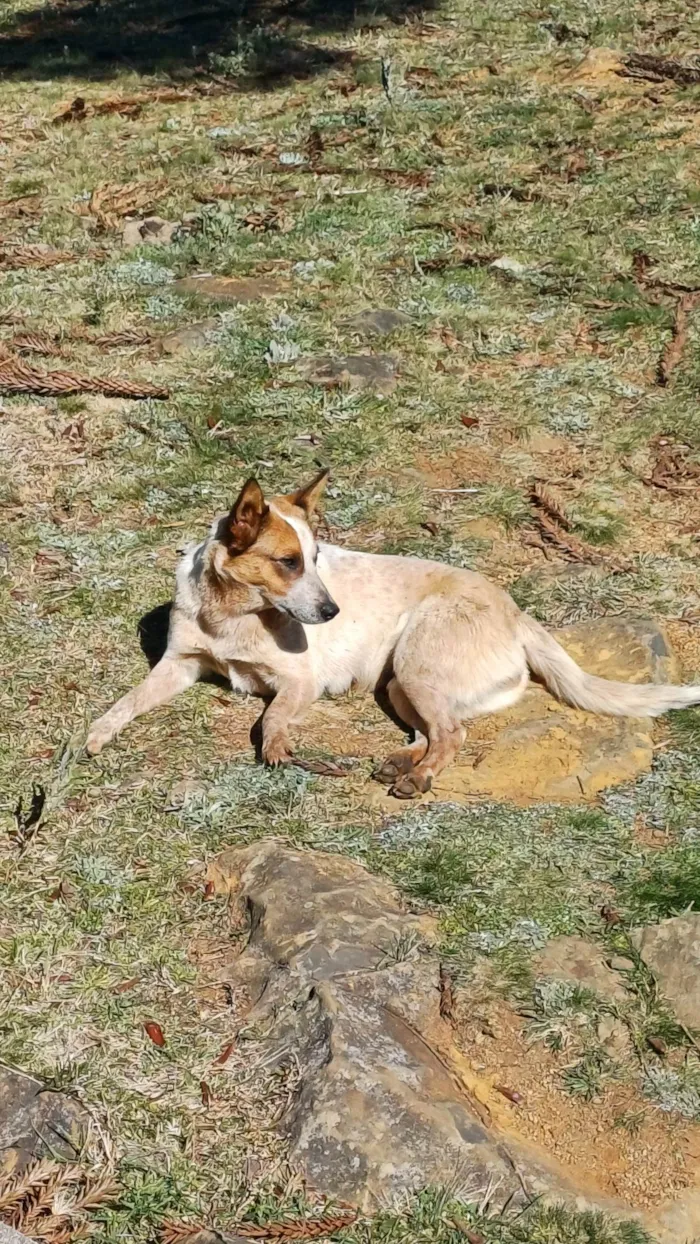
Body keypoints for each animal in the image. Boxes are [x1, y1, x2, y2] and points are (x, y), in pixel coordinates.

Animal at [86, 470, 700, 801]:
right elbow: (129, 700)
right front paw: (96, 733)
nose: (332, 610)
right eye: (288, 562)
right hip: (400, 685)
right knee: (432, 730)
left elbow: (271, 717)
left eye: (316, 558)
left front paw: (277, 744)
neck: (230, 615)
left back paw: (418, 776)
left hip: (414, 667)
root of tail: (517, 612)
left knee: (452, 734)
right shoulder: (179, 663)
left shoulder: (299, 683)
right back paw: (401, 763)